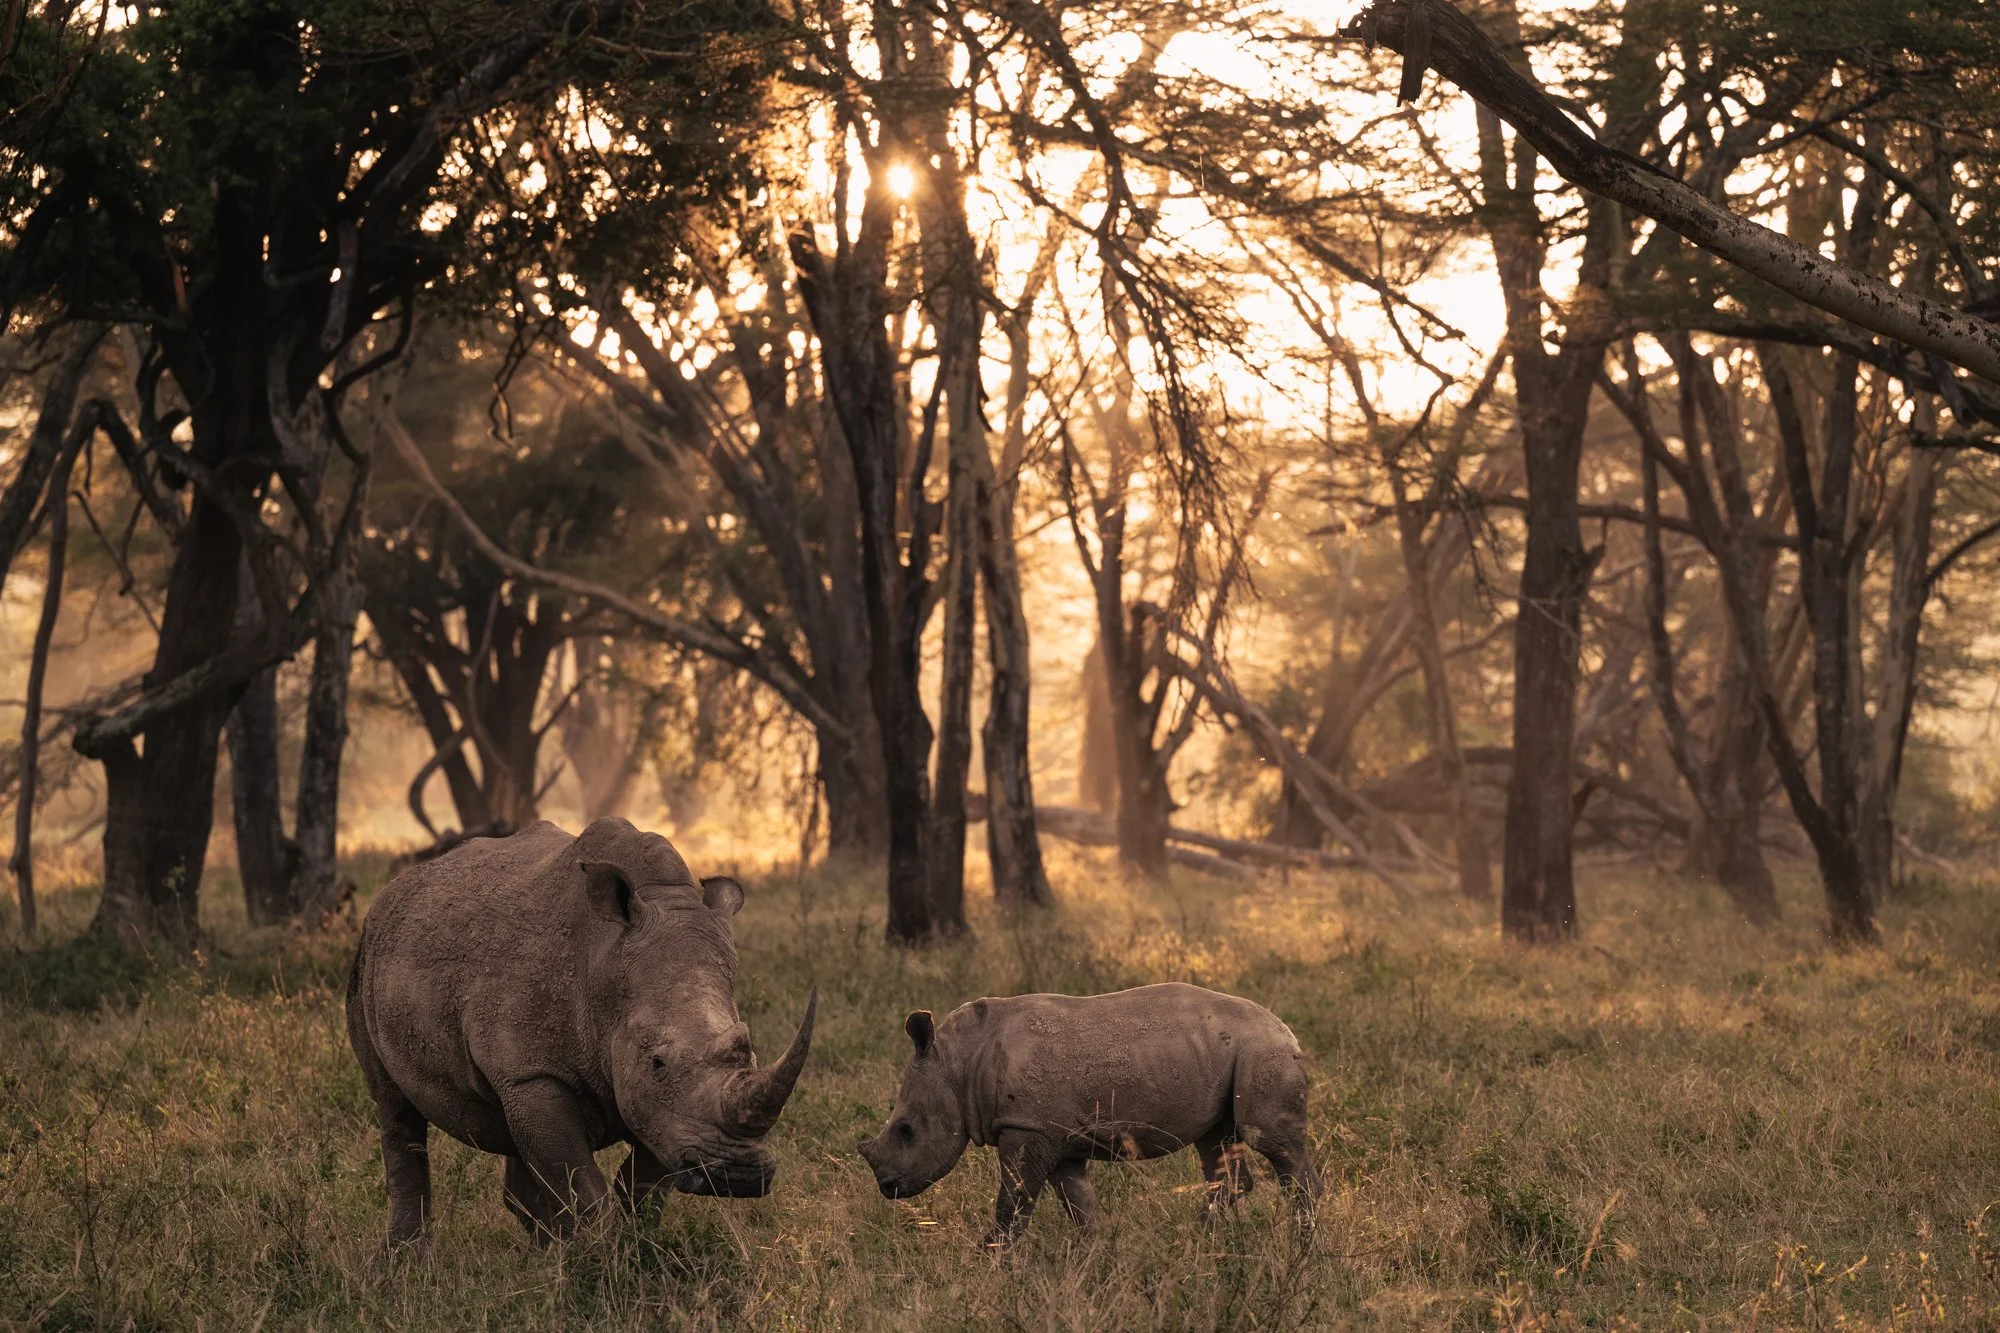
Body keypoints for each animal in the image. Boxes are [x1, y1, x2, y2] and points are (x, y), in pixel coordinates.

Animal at [346, 817, 815, 1246]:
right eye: (658, 1062)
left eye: (751, 1056)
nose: (738, 1175)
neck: (606, 961)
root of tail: (399, 885)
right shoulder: (536, 1074)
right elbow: (582, 1185)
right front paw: (603, 1260)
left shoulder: (671, 1116)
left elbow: (641, 1187)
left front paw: (631, 1253)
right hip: (366, 956)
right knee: (394, 1107)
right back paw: (406, 1259)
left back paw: (547, 1253)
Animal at [858, 982, 1321, 1245]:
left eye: (906, 1130)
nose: (887, 1187)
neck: (956, 1064)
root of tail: (1286, 1028)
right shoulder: (1058, 1140)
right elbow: (1080, 1208)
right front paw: (1094, 1260)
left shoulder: (1028, 1128)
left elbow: (1013, 1203)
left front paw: (991, 1262)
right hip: (1229, 1054)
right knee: (1218, 1143)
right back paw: (1196, 1241)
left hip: (1263, 1050)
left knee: (1271, 1142)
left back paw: (1303, 1252)